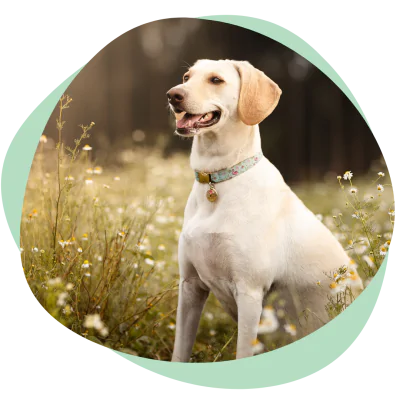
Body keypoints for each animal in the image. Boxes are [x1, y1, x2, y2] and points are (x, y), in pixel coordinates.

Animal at [166, 59, 362, 362]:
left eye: (216, 80)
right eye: (187, 77)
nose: (173, 95)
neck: (217, 180)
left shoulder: (249, 293)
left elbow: (243, 353)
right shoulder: (190, 286)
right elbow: (180, 350)